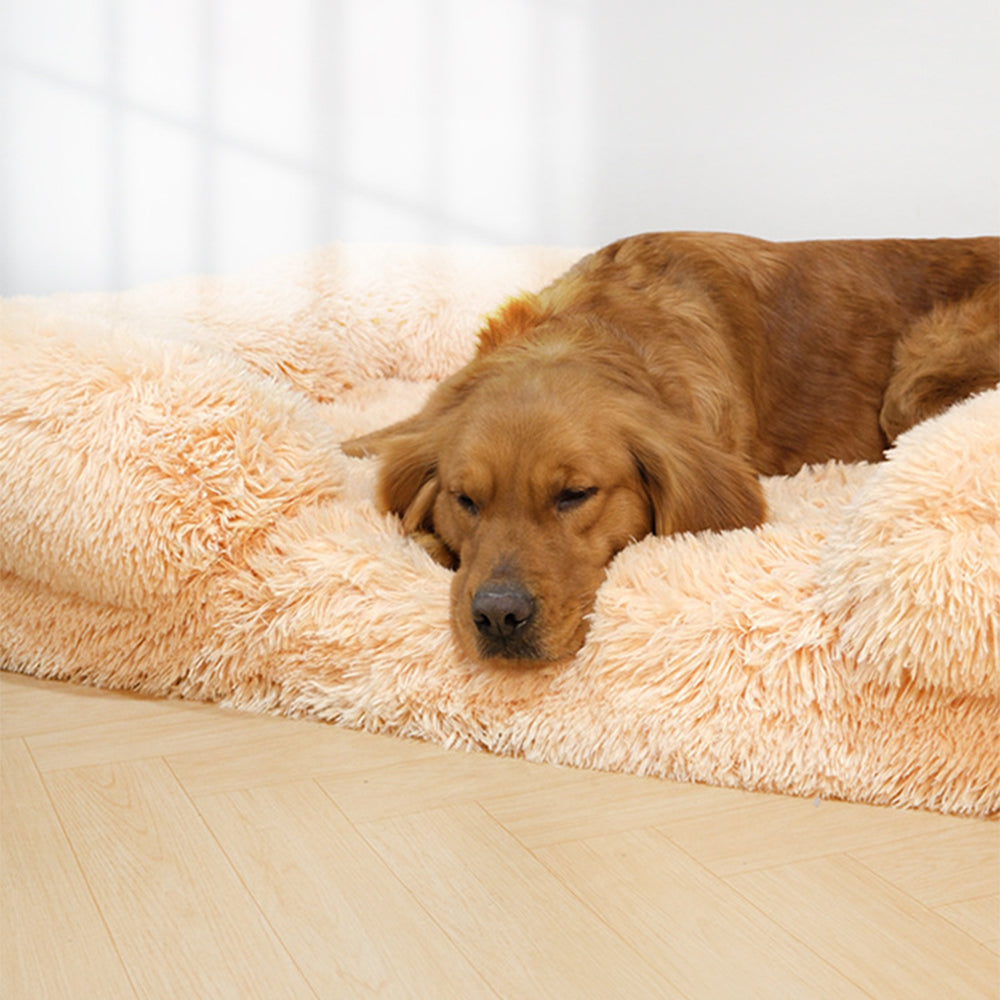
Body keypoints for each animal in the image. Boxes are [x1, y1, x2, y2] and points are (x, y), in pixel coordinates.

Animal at [340, 232, 996, 664]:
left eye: (575, 494)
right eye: (465, 500)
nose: (500, 616)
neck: (592, 332)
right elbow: (365, 445)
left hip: (914, 381)